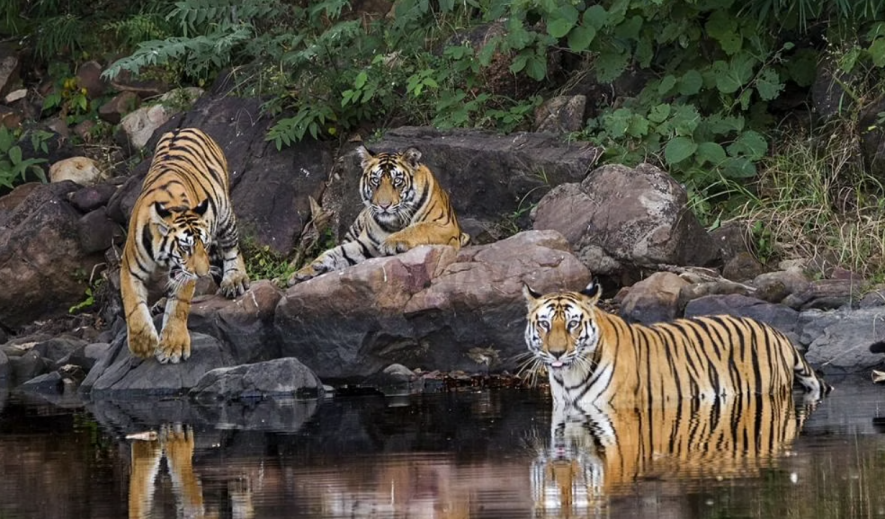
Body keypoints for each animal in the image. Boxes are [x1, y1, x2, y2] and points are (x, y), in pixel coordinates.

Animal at [120, 128, 250, 364]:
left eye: (204, 246)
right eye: (185, 247)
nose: (203, 273)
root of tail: (182, 128)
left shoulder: (185, 273)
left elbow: (179, 305)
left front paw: (173, 346)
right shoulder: (129, 268)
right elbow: (133, 305)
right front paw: (143, 344)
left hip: (224, 212)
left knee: (231, 248)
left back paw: (234, 279)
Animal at [289, 145, 469, 284]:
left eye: (397, 181)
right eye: (375, 181)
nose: (384, 206)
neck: (395, 222)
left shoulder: (446, 226)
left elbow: (419, 228)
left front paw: (392, 242)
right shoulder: (364, 244)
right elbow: (334, 253)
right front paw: (302, 272)